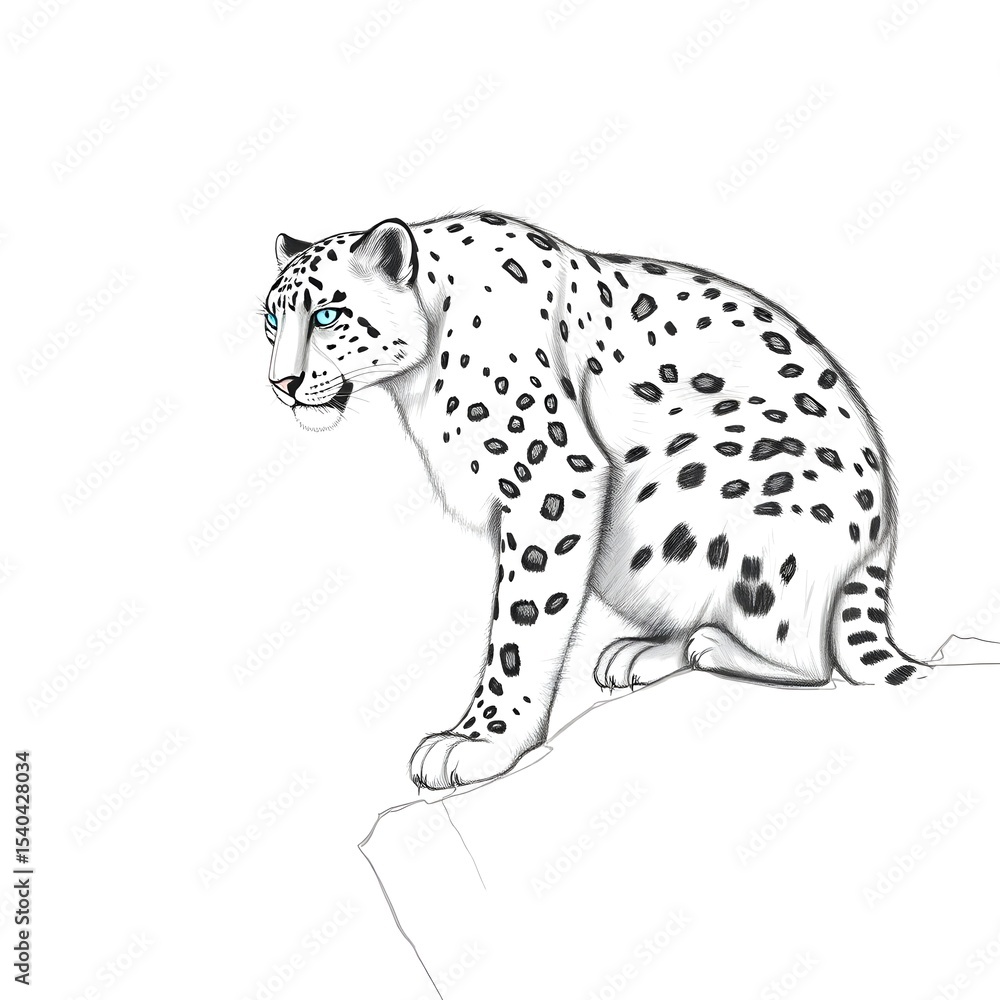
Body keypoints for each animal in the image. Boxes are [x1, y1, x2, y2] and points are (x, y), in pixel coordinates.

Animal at [261, 211, 931, 789]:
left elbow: (521, 623)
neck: (421, 381)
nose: (280, 383)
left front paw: (479, 742)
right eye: (272, 319)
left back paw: (709, 645)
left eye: (328, 314)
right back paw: (645, 651)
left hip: (747, 531)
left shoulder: (546, 478)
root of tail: (883, 535)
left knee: (809, 657)